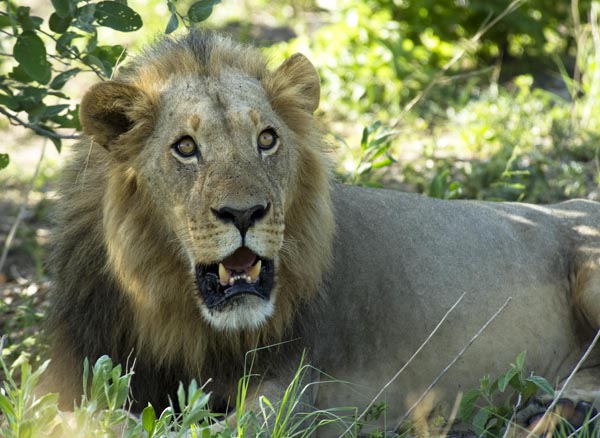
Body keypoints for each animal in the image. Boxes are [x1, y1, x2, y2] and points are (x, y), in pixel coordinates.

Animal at [44, 30, 600, 434]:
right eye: (185, 147)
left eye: (267, 139)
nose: (245, 213)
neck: (172, 312)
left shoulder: (295, 391)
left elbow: (190, 429)